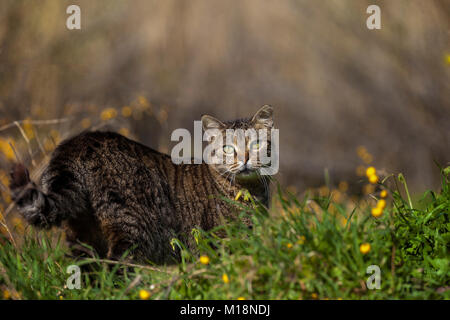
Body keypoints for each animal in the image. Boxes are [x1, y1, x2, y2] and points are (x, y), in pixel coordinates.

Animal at [9, 105, 274, 264]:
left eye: (256, 144)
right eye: (228, 148)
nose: (245, 159)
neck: (253, 192)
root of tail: (80, 142)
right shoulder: (222, 241)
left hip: (82, 237)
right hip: (131, 228)